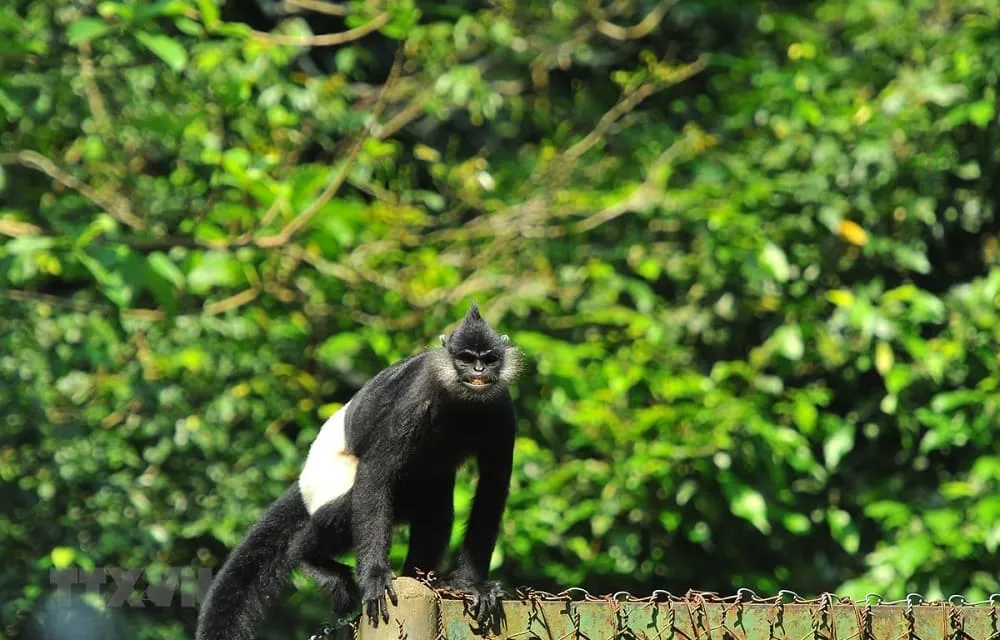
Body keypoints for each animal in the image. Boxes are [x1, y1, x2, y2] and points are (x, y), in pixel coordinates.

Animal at [197, 304, 524, 640]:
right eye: (466, 359)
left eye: (489, 359)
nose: (478, 372)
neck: (461, 403)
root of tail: (303, 481)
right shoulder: (415, 397)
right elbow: (376, 471)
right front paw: (375, 575)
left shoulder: (502, 408)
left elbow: (492, 489)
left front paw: (471, 585)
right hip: (327, 482)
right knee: (345, 505)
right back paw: (309, 557)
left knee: (435, 508)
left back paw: (425, 578)